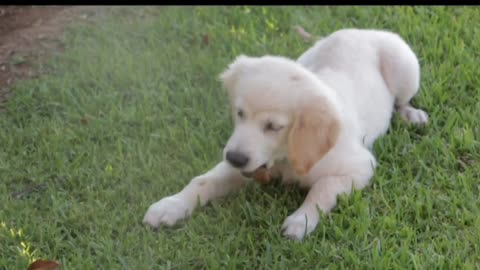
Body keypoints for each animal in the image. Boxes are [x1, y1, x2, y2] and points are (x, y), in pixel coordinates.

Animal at [142, 28, 428, 240]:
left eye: (274, 126)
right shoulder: (249, 162)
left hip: (405, 68)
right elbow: (202, 180)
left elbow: (323, 188)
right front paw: (170, 206)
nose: (234, 158)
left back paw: (411, 115)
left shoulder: (359, 167)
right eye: (239, 113)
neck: (286, 157)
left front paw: (301, 220)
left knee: (402, 100)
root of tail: (360, 29)